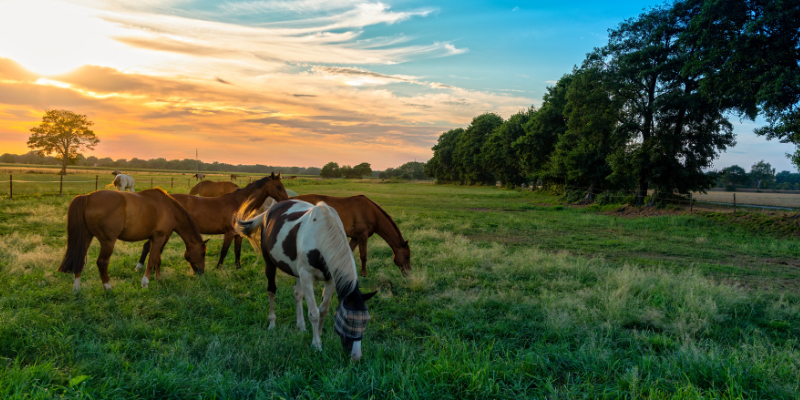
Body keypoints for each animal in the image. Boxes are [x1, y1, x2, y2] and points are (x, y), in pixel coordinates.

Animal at [57, 189, 208, 292]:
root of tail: (88, 197)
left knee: (79, 259)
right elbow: (151, 260)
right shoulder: (159, 237)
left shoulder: (155, 238)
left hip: (86, 237)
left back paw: (77, 289)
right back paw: (108, 287)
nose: (201, 272)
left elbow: (157, 259)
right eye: (203, 253)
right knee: (102, 262)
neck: (169, 208)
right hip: (108, 242)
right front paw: (145, 283)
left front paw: (159, 279)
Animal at [138, 173, 288, 270]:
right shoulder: (229, 233)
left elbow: (237, 251)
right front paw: (219, 267)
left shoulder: (238, 235)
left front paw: (238, 268)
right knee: (149, 246)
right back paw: (141, 267)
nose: (286, 200)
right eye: (278, 186)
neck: (239, 204)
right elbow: (224, 251)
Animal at [236, 199, 376, 360]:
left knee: (297, 295)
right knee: (271, 291)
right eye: (347, 320)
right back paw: (272, 323)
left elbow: (323, 310)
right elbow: (314, 313)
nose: (356, 356)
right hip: (270, 262)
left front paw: (319, 335)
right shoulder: (307, 276)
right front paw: (316, 344)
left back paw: (301, 326)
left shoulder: (330, 279)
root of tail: (269, 211)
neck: (321, 235)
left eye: (366, 320)